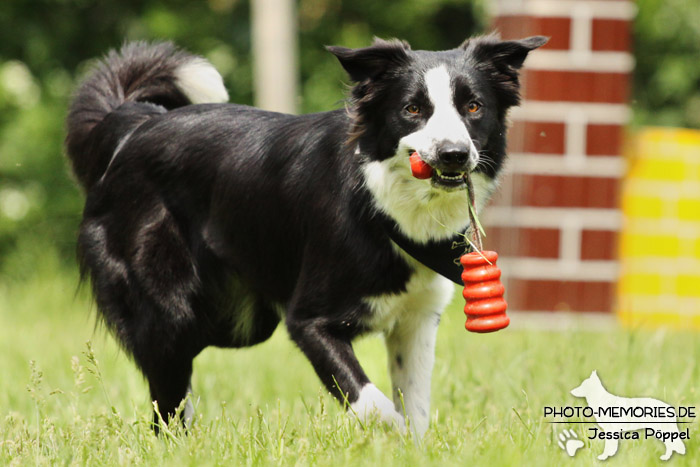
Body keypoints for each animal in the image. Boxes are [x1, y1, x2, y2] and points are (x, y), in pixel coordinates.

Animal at [65, 34, 548, 436]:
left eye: (473, 107)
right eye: (412, 109)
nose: (453, 154)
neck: (382, 205)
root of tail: (134, 124)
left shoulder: (416, 320)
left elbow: (414, 407)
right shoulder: (310, 320)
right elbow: (375, 406)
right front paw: (387, 437)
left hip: (241, 320)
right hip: (170, 309)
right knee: (166, 401)